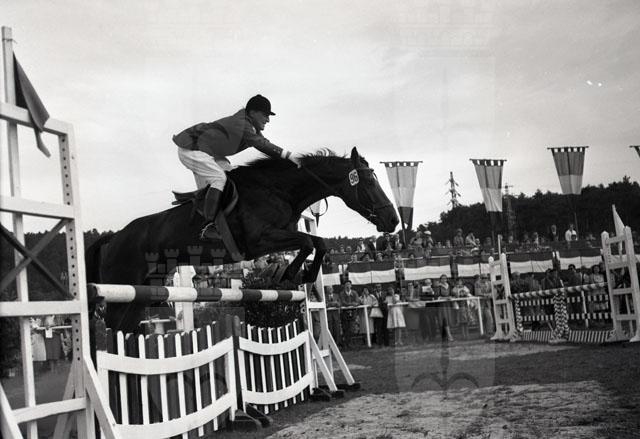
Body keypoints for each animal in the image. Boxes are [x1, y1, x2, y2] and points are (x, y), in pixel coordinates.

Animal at [86, 147, 399, 332]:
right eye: (369, 181)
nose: (393, 221)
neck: (278, 189)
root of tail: (113, 238)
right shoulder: (261, 240)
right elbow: (310, 242)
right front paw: (290, 273)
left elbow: (317, 242)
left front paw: (301, 275)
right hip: (120, 289)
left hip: (141, 293)